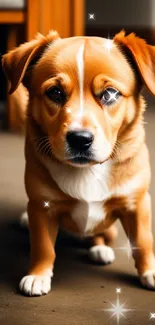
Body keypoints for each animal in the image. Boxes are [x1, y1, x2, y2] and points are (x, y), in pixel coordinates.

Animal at [2, 30, 155, 294]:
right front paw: (38, 275)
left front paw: (150, 272)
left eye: (110, 94)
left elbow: (144, 242)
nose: (80, 139)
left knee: (102, 235)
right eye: (55, 92)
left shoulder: (137, 203)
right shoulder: (42, 207)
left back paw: (100, 249)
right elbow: (43, 247)